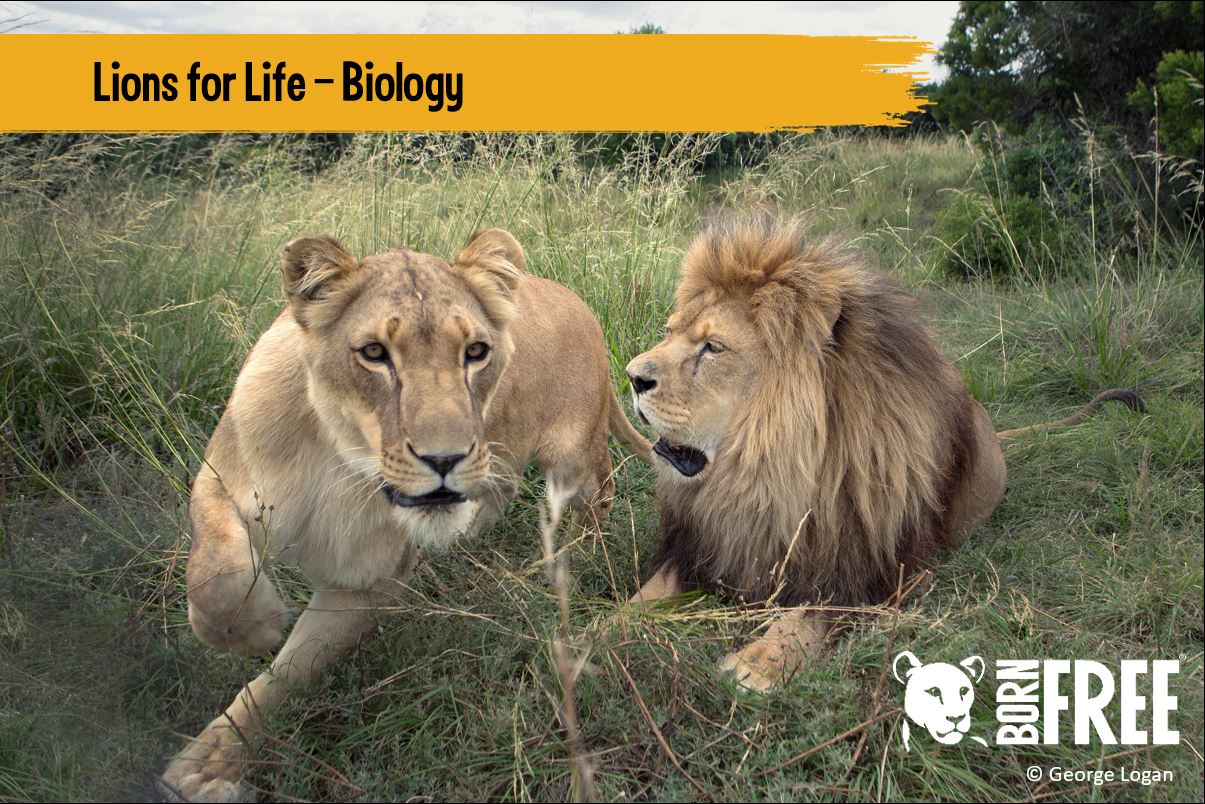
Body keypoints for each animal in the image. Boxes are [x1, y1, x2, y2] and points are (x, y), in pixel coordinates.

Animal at [162, 229, 650, 800]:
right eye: (374, 353)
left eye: (475, 352)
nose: (445, 459)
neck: (341, 456)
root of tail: (582, 304)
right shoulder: (223, 475)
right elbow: (215, 570)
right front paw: (248, 628)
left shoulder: (368, 582)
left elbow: (289, 672)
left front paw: (213, 757)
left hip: (572, 458)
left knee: (600, 497)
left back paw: (577, 557)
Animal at [626, 215, 1142, 694]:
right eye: (670, 332)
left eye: (713, 347)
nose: (632, 376)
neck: (763, 476)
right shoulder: (701, 546)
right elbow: (643, 599)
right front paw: (611, 631)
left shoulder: (876, 570)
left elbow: (810, 615)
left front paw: (759, 663)